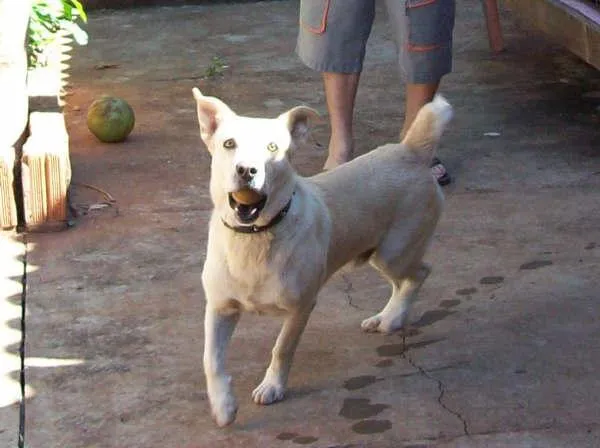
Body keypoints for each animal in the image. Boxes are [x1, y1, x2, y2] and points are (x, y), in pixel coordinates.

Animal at [195, 88, 452, 428]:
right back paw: (385, 317)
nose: (247, 170)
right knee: (404, 281)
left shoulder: (301, 307)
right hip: (380, 255)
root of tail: (410, 150)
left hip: (393, 252)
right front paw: (223, 405)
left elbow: (282, 348)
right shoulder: (220, 308)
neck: (255, 238)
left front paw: (272, 386)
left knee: (419, 273)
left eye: (273, 148)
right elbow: (211, 360)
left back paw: (393, 318)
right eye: (228, 144)